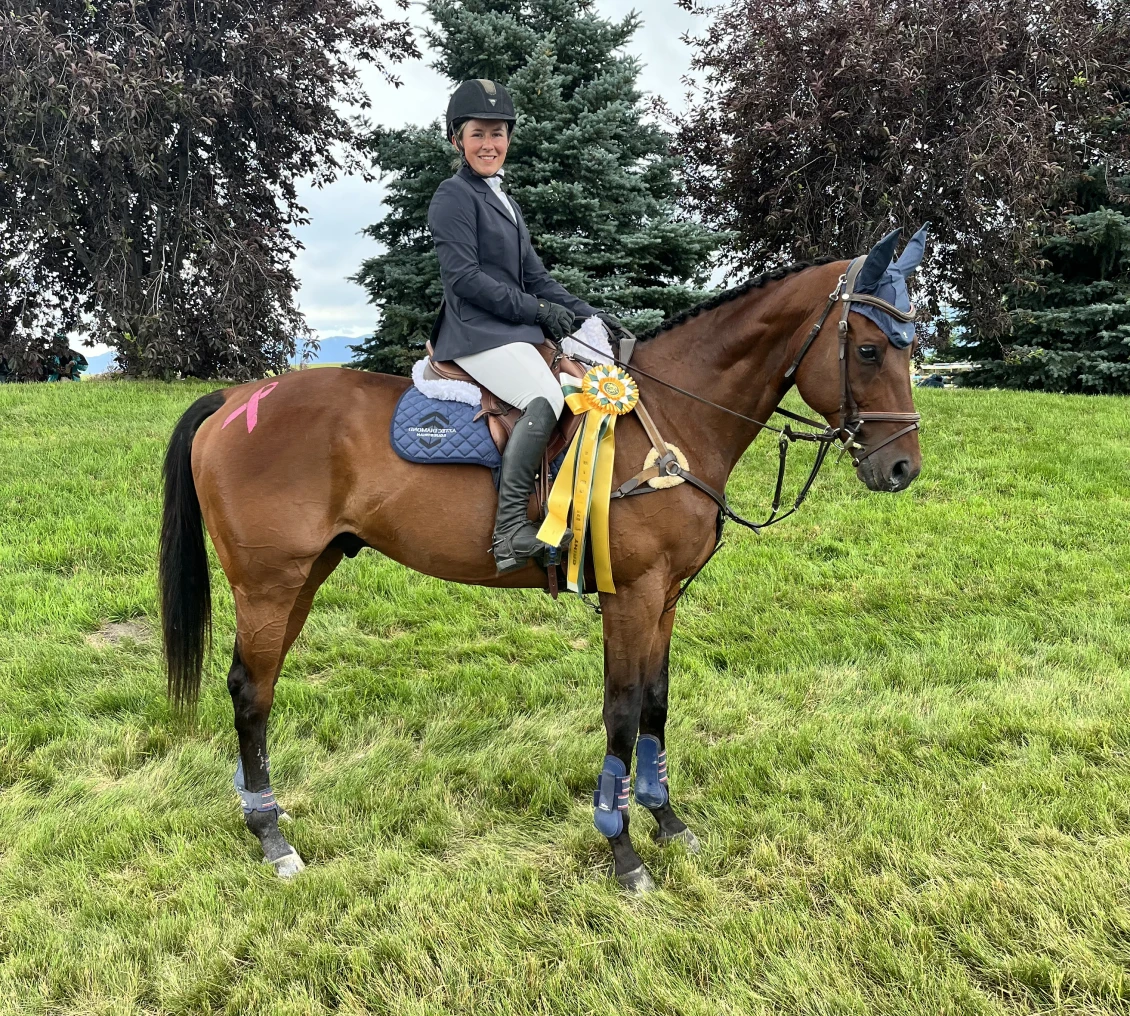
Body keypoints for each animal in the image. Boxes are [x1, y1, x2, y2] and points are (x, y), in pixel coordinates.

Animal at [158, 229, 926, 890]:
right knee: (250, 692)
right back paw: (272, 838)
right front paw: (623, 851)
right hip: (268, 583)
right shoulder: (631, 594)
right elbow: (622, 710)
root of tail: (238, 398)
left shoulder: (668, 596)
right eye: (867, 351)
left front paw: (669, 822)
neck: (670, 421)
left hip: (304, 577)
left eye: (913, 346)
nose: (902, 469)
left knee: (259, 689)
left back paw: (263, 812)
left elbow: (657, 703)